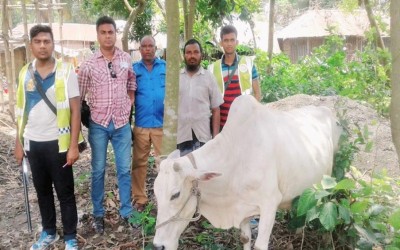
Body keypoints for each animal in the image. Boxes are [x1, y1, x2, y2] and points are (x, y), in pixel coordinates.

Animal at [152, 94, 340, 249]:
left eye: (175, 195)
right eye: (155, 194)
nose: (158, 246)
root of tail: (325, 110)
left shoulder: (270, 203)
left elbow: (260, 245)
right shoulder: (242, 208)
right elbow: (245, 238)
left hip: (329, 181)